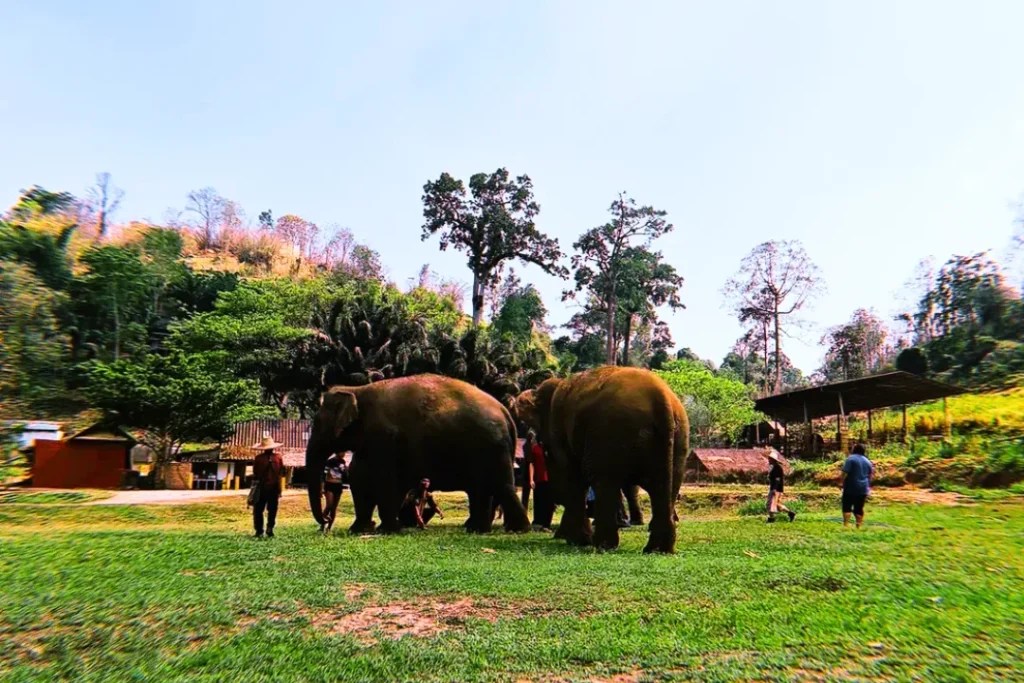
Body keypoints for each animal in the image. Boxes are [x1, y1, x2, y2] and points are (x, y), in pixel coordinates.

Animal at [305, 374, 531, 535]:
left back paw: (516, 529)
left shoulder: (385, 436)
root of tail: (505, 412)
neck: (357, 389)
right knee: (482, 489)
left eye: (317, 423)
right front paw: (360, 529)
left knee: (499, 485)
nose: (326, 521)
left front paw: (387, 530)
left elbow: (385, 480)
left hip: (490, 445)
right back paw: (477, 529)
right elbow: (359, 478)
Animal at [514, 366, 688, 553]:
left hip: (609, 434)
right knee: (666, 487)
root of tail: (662, 401)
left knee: (604, 482)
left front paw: (578, 541)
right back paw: (657, 550)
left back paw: (603, 546)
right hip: (678, 440)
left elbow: (572, 477)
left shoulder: (558, 429)